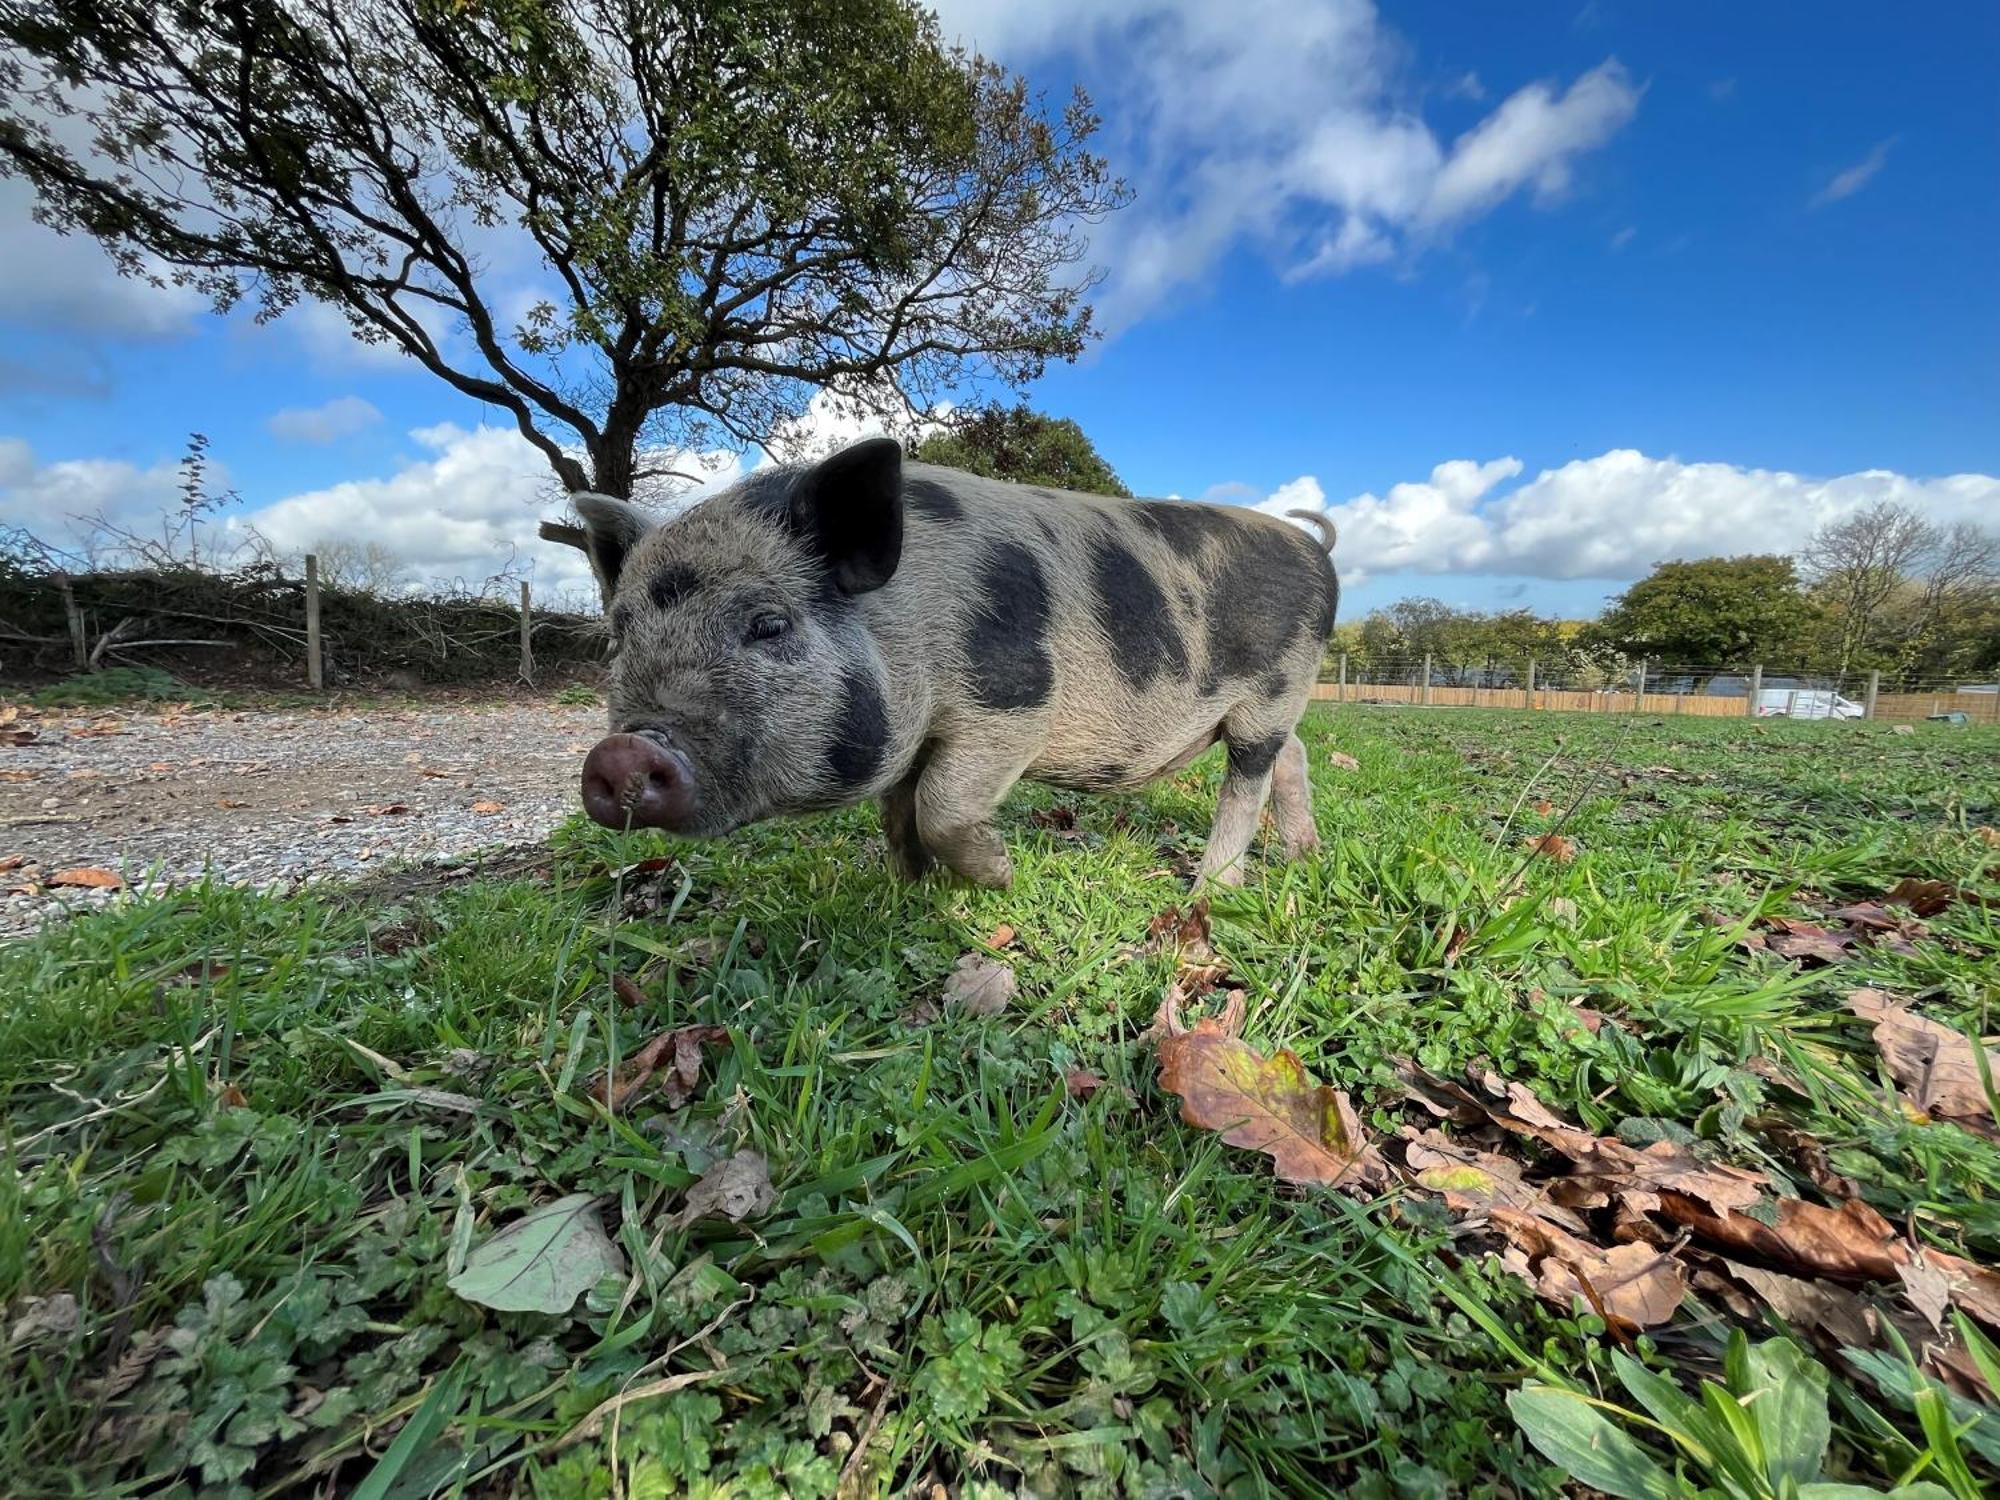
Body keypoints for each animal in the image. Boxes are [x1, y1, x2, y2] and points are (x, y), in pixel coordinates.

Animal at [572, 434, 1336, 888]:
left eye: (768, 624)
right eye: (620, 634)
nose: (624, 750)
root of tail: (1317, 550)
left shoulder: (1014, 706)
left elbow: (939, 803)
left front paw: (999, 875)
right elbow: (897, 810)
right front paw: (907, 889)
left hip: (1277, 688)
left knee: (1249, 779)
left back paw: (1213, 890)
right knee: (1294, 757)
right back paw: (1303, 855)